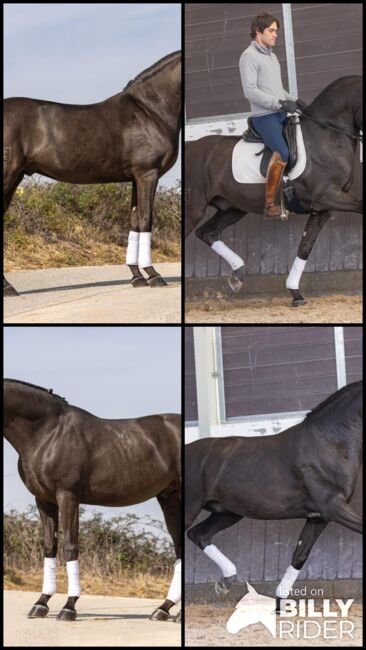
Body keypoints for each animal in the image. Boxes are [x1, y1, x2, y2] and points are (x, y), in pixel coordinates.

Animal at [2, 50, 180, 294]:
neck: (151, 110)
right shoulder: (148, 174)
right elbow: (146, 220)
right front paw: (153, 275)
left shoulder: (136, 178)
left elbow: (134, 221)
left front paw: (137, 277)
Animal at [2, 378, 180, 620]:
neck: (46, 433)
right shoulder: (44, 500)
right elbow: (49, 546)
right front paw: (41, 603)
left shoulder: (67, 496)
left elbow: (70, 546)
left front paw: (69, 607)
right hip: (169, 497)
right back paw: (163, 609)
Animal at [186, 76, 364, 306]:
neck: (326, 135)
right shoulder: (327, 195)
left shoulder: (323, 208)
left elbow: (305, 246)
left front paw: (295, 294)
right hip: (194, 209)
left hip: (232, 208)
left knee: (207, 232)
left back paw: (238, 275)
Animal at [186, 380, 364, 608]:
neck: (329, 444)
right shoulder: (334, 508)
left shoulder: (318, 518)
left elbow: (299, 556)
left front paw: (280, 604)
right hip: (191, 508)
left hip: (227, 513)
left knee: (199, 534)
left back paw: (225, 582)